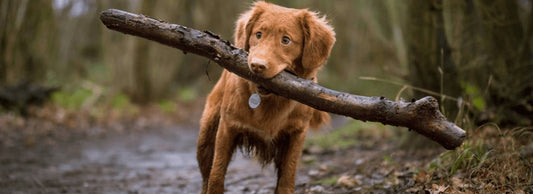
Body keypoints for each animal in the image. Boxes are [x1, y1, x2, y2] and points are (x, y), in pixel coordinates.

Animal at [195, 1, 334, 192]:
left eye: (285, 40)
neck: (269, 100)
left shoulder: (297, 134)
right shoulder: (227, 127)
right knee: (206, 174)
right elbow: (216, 175)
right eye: (258, 34)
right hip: (206, 137)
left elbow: (287, 179)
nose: (257, 65)